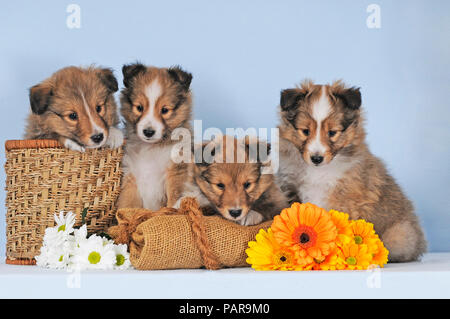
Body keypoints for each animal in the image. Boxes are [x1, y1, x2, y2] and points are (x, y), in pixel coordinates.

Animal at [117, 63, 192, 211]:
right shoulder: (131, 174)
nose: (148, 132)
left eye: (164, 110)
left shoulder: (176, 171)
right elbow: (127, 205)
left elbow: (174, 196)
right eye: (139, 108)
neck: (151, 148)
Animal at [276, 79, 428, 262]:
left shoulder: (346, 200)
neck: (319, 171)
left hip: (399, 235)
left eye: (332, 132)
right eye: (305, 131)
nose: (316, 158)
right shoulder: (292, 190)